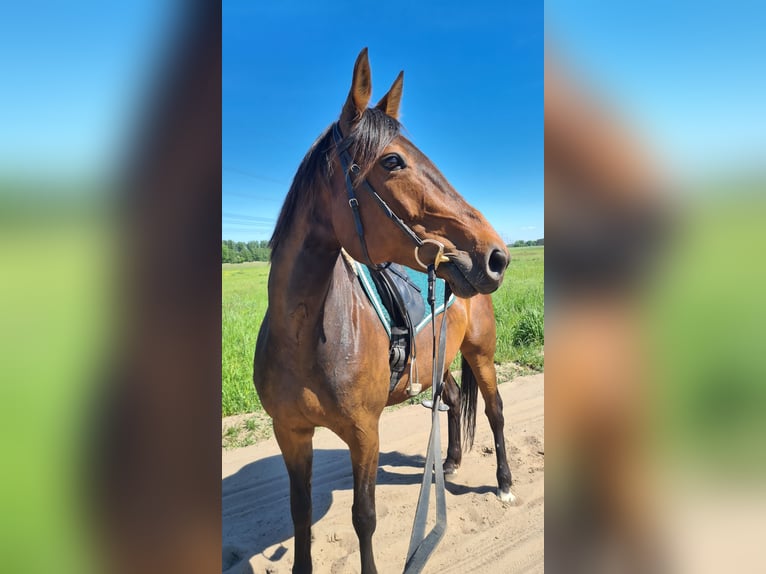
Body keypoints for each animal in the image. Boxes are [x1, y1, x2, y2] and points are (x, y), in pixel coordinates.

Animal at [255, 49, 512, 574]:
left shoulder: (364, 434)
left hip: (480, 354)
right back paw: (449, 462)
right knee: (450, 399)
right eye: (393, 160)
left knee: (494, 410)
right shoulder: (290, 433)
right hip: (440, 360)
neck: (304, 336)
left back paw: (503, 482)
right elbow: (299, 513)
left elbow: (364, 518)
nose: (496, 257)